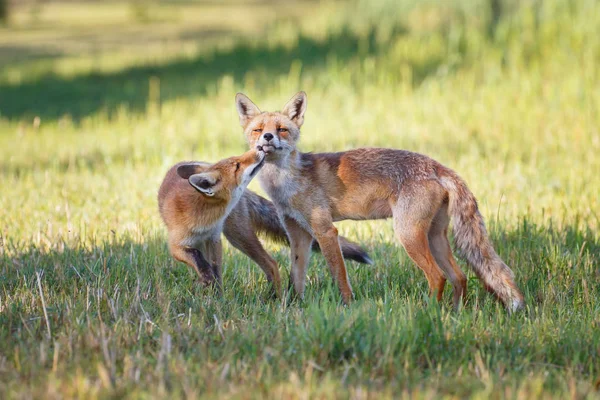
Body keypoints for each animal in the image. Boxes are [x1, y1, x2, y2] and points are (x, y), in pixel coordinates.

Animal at [157, 149, 372, 294]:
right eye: (237, 165)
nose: (259, 148)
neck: (203, 214)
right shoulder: (176, 245)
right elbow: (198, 258)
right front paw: (210, 286)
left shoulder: (214, 238)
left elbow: (215, 269)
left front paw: (217, 294)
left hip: (238, 236)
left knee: (271, 263)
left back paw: (276, 297)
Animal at [234, 91, 524, 312]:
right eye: (258, 130)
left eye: (282, 129)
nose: (267, 138)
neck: (287, 183)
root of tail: (437, 166)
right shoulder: (298, 234)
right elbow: (296, 276)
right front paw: (293, 306)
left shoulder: (325, 230)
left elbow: (339, 274)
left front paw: (347, 306)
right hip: (434, 237)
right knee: (460, 276)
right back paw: (454, 315)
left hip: (408, 234)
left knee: (438, 277)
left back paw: (429, 312)